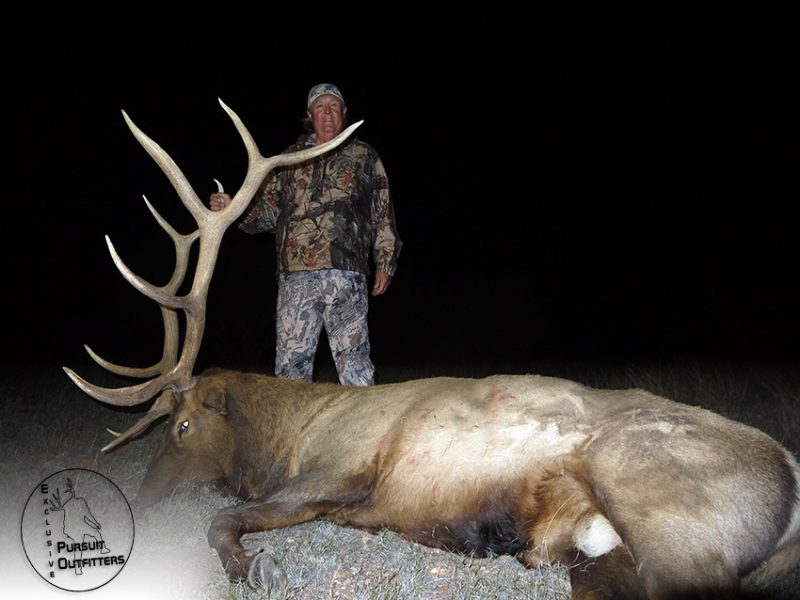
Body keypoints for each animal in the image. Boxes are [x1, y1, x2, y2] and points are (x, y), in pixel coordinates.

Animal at [64, 101, 800, 596]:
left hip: (661, 507)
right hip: (592, 552)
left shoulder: (342, 468)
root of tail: (792, 483)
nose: (140, 499)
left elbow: (223, 517)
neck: (291, 435)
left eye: (183, 426)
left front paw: (255, 566)